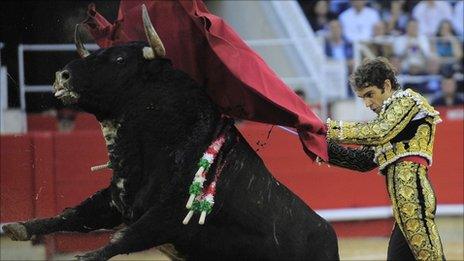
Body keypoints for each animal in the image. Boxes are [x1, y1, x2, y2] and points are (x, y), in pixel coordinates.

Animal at [2, 38, 338, 260]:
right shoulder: (114, 202)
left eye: (120, 59)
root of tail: (329, 234)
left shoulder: (168, 217)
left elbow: (124, 238)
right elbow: (72, 215)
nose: (63, 75)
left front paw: (85, 256)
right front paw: (19, 227)